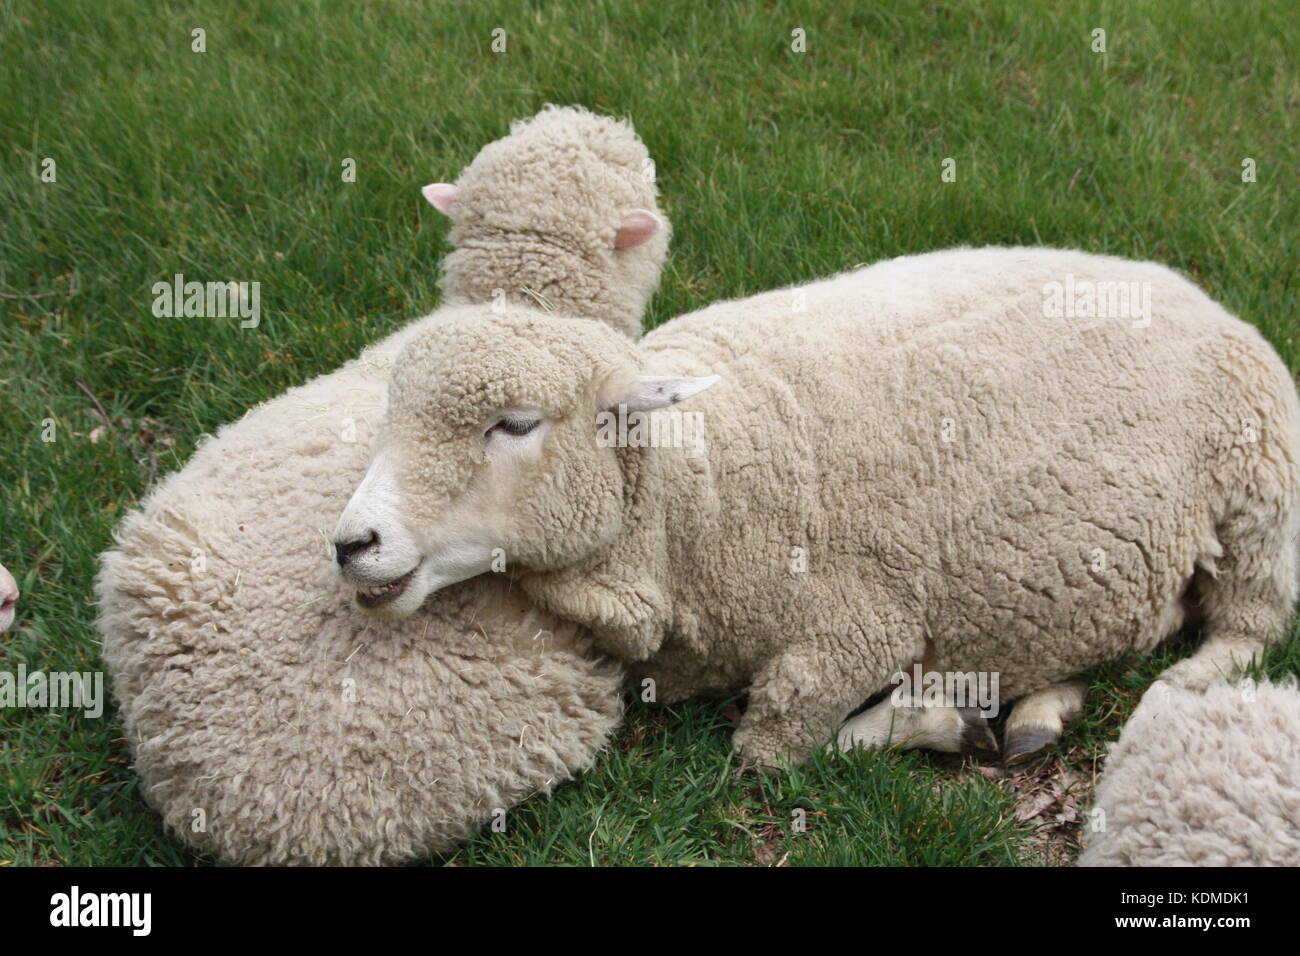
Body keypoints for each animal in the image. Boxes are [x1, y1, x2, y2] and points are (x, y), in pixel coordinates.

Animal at [335, 248, 1300, 770]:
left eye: (515, 424)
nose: (351, 542)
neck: (696, 491)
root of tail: (1197, 294)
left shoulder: (857, 627)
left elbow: (774, 747)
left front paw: (934, 715)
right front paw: (969, 708)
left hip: (1263, 499)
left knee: (1249, 630)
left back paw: (1174, 687)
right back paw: (1041, 709)